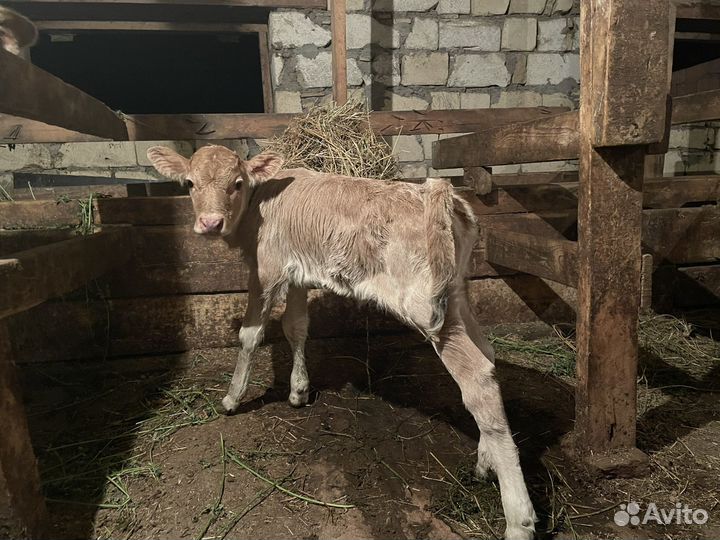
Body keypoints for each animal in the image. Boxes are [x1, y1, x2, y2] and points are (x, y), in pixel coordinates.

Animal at [147, 144, 537, 539]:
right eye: (190, 183)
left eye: (237, 183)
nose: (210, 222)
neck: (262, 201)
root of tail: (437, 192)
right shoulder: (298, 273)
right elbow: (296, 327)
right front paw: (298, 391)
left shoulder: (266, 270)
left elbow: (251, 334)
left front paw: (232, 398)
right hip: (456, 294)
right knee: (488, 355)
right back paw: (485, 463)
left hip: (428, 310)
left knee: (477, 380)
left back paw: (518, 519)